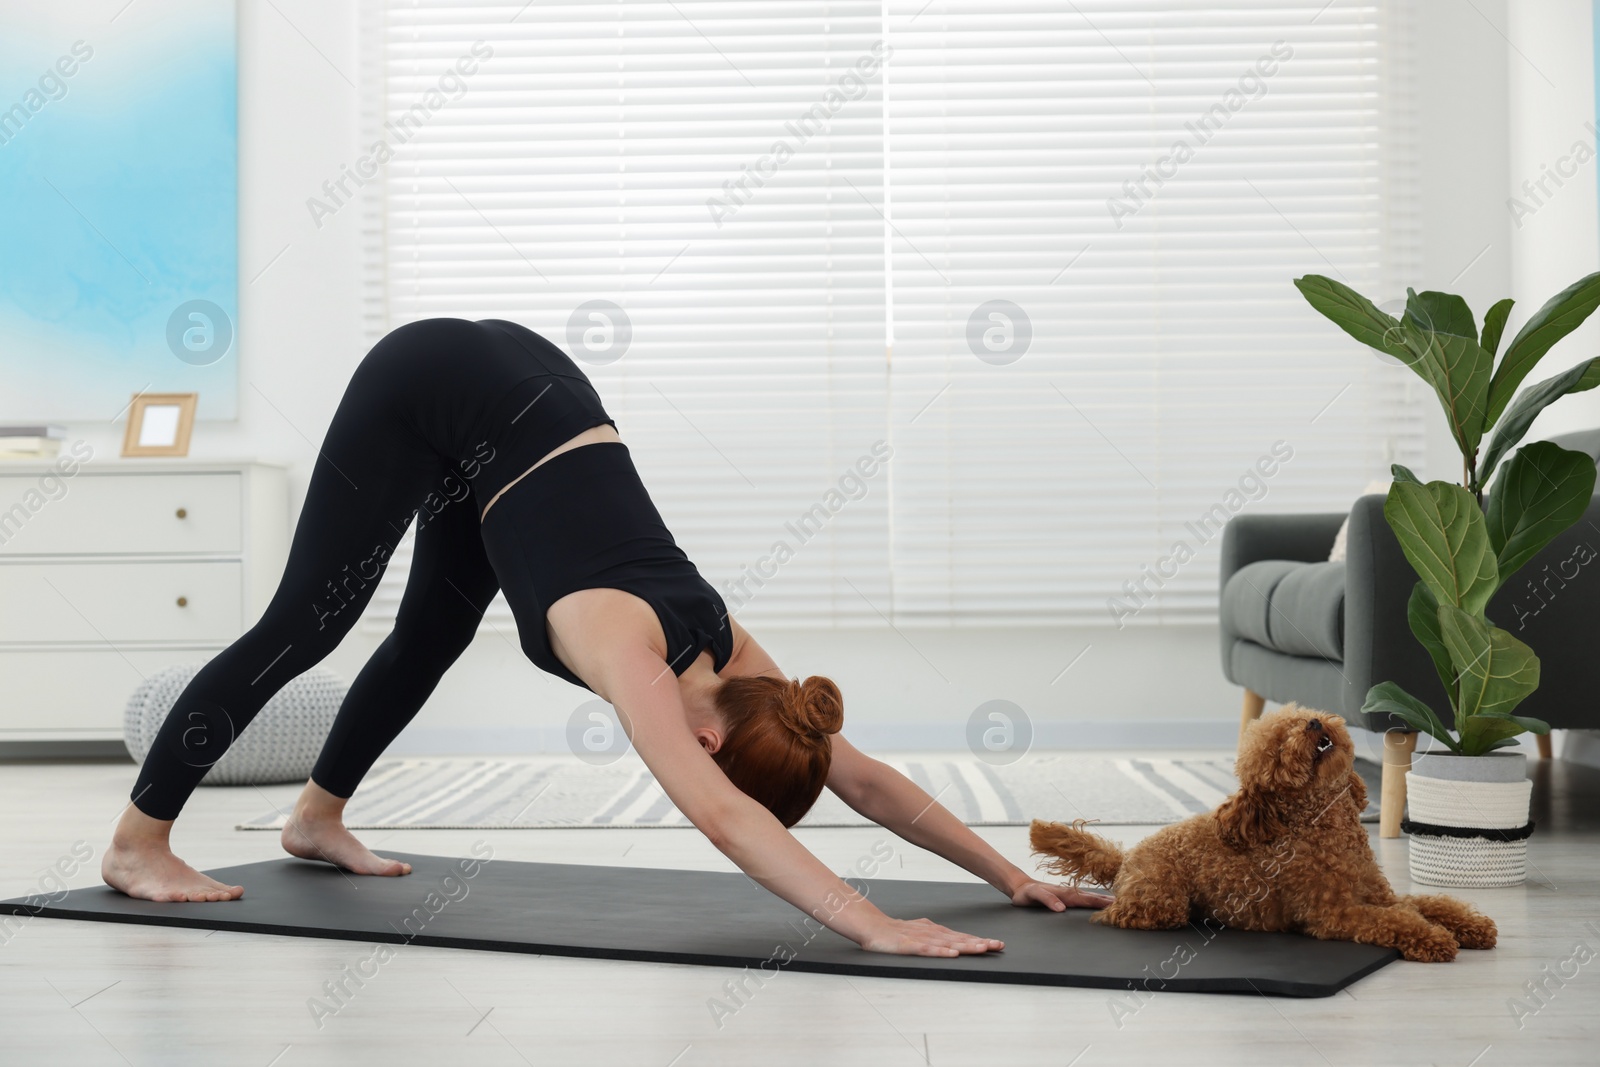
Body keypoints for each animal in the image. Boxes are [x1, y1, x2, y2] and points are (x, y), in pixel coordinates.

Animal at [1030, 703, 1491, 966]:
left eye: (1297, 719)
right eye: (1280, 746)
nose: (1313, 723)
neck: (1326, 831)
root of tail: (1126, 859)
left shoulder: (1381, 895)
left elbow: (1427, 904)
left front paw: (1471, 926)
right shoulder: (1335, 913)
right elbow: (1396, 921)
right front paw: (1435, 939)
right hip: (1162, 901)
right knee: (1121, 915)